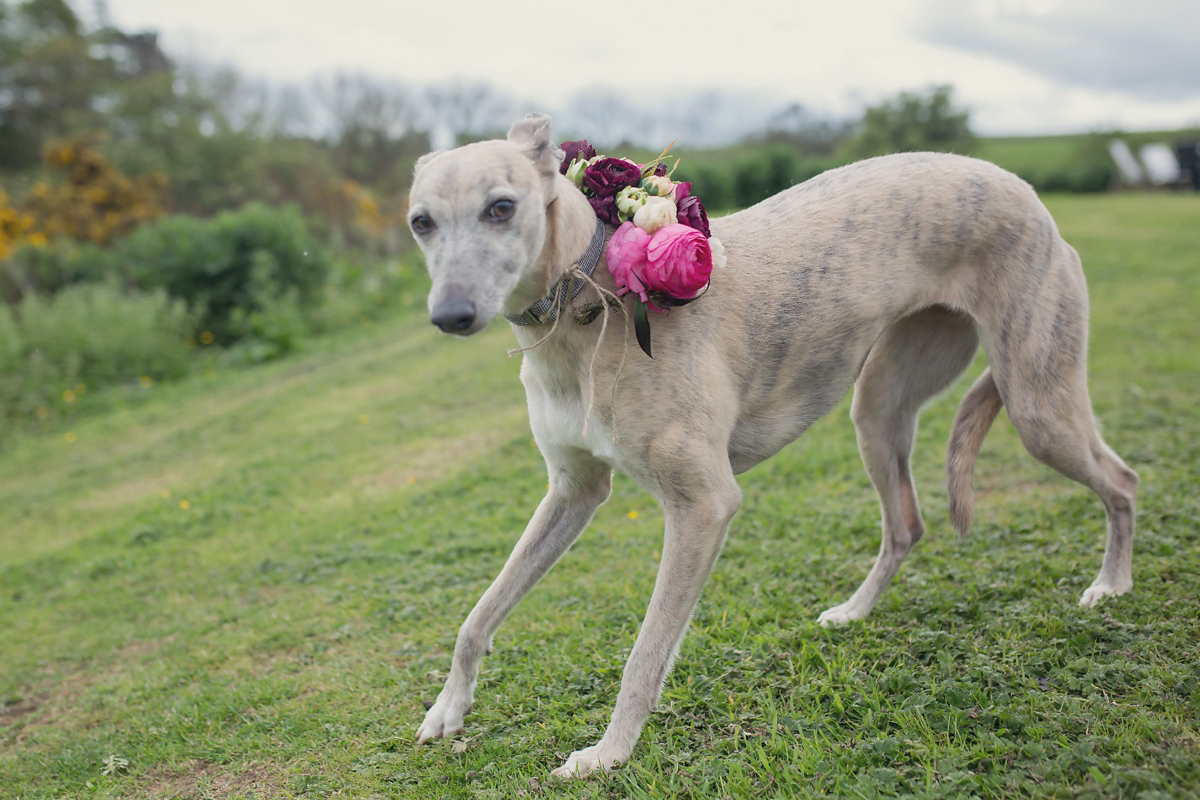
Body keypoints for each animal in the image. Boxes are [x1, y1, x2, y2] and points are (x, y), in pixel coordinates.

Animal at [403, 112, 1132, 777]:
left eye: (501, 207)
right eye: (420, 222)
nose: (449, 315)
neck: (591, 296)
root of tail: (1023, 189)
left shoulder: (703, 506)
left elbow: (645, 654)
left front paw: (608, 754)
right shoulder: (572, 491)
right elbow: (479, 614)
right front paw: (448, 709)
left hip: (1038, 405)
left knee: (1120, 481)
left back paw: (1111, 586)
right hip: (880, 408)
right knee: (906, 524)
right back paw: (853, 611)